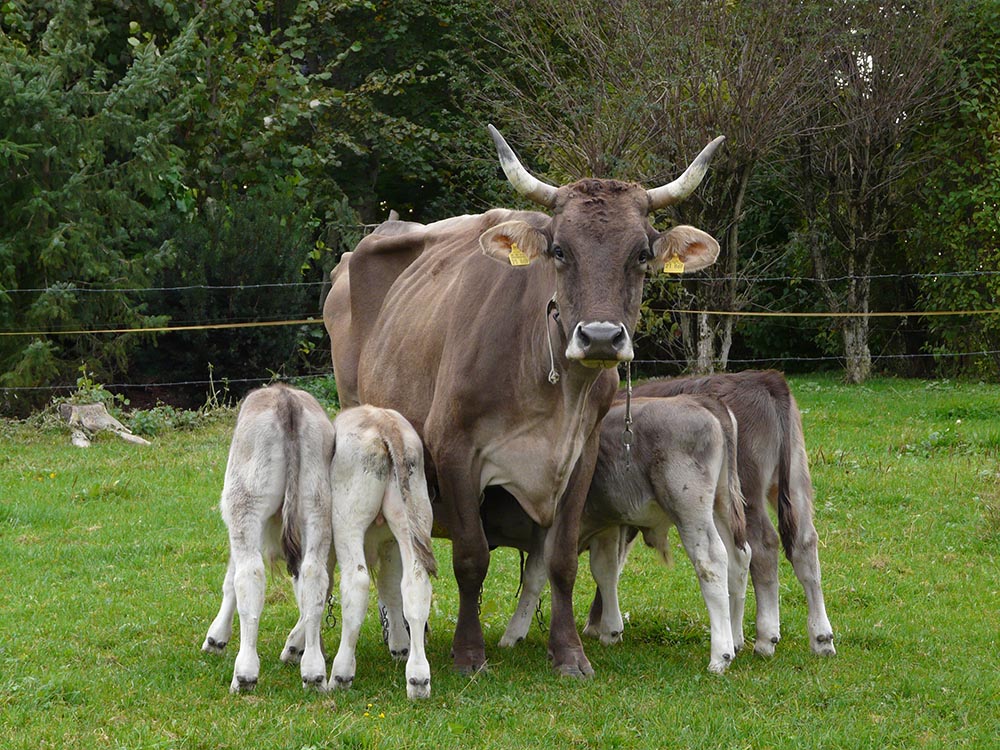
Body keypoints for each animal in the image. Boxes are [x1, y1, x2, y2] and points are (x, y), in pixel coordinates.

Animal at [324, 126, 724, 680]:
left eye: (642, 254)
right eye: (559, 250)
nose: (601, 337)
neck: (551, 391)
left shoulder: (580, 457)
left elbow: (561, 560)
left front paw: (569, 653)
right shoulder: (455, 450)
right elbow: (471, 556)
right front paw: (469, 653)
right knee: (387, 554)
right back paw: (401, 638)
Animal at [500, 396, 752, 672]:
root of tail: (701, 401)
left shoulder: (547, 527)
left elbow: (534, 575)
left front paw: (513, 633)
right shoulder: (607, 525)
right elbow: (606, 571)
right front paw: (610, 630)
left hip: (690, 507)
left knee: (712, 561)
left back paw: (721, 654)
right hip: (722, 505)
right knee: (739, 558)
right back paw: (736, 639)